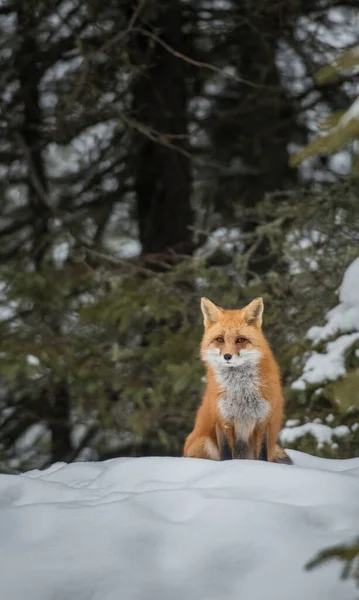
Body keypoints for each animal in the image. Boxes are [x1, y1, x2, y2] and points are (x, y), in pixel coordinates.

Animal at [186, 296, 292, 464]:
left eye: (240, 340)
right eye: (220, 339)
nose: (227, 356)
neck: (241, 392)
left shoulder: (262, 420)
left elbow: (262, 455)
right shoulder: (223, 419)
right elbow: (226, 454)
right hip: (204, 442)